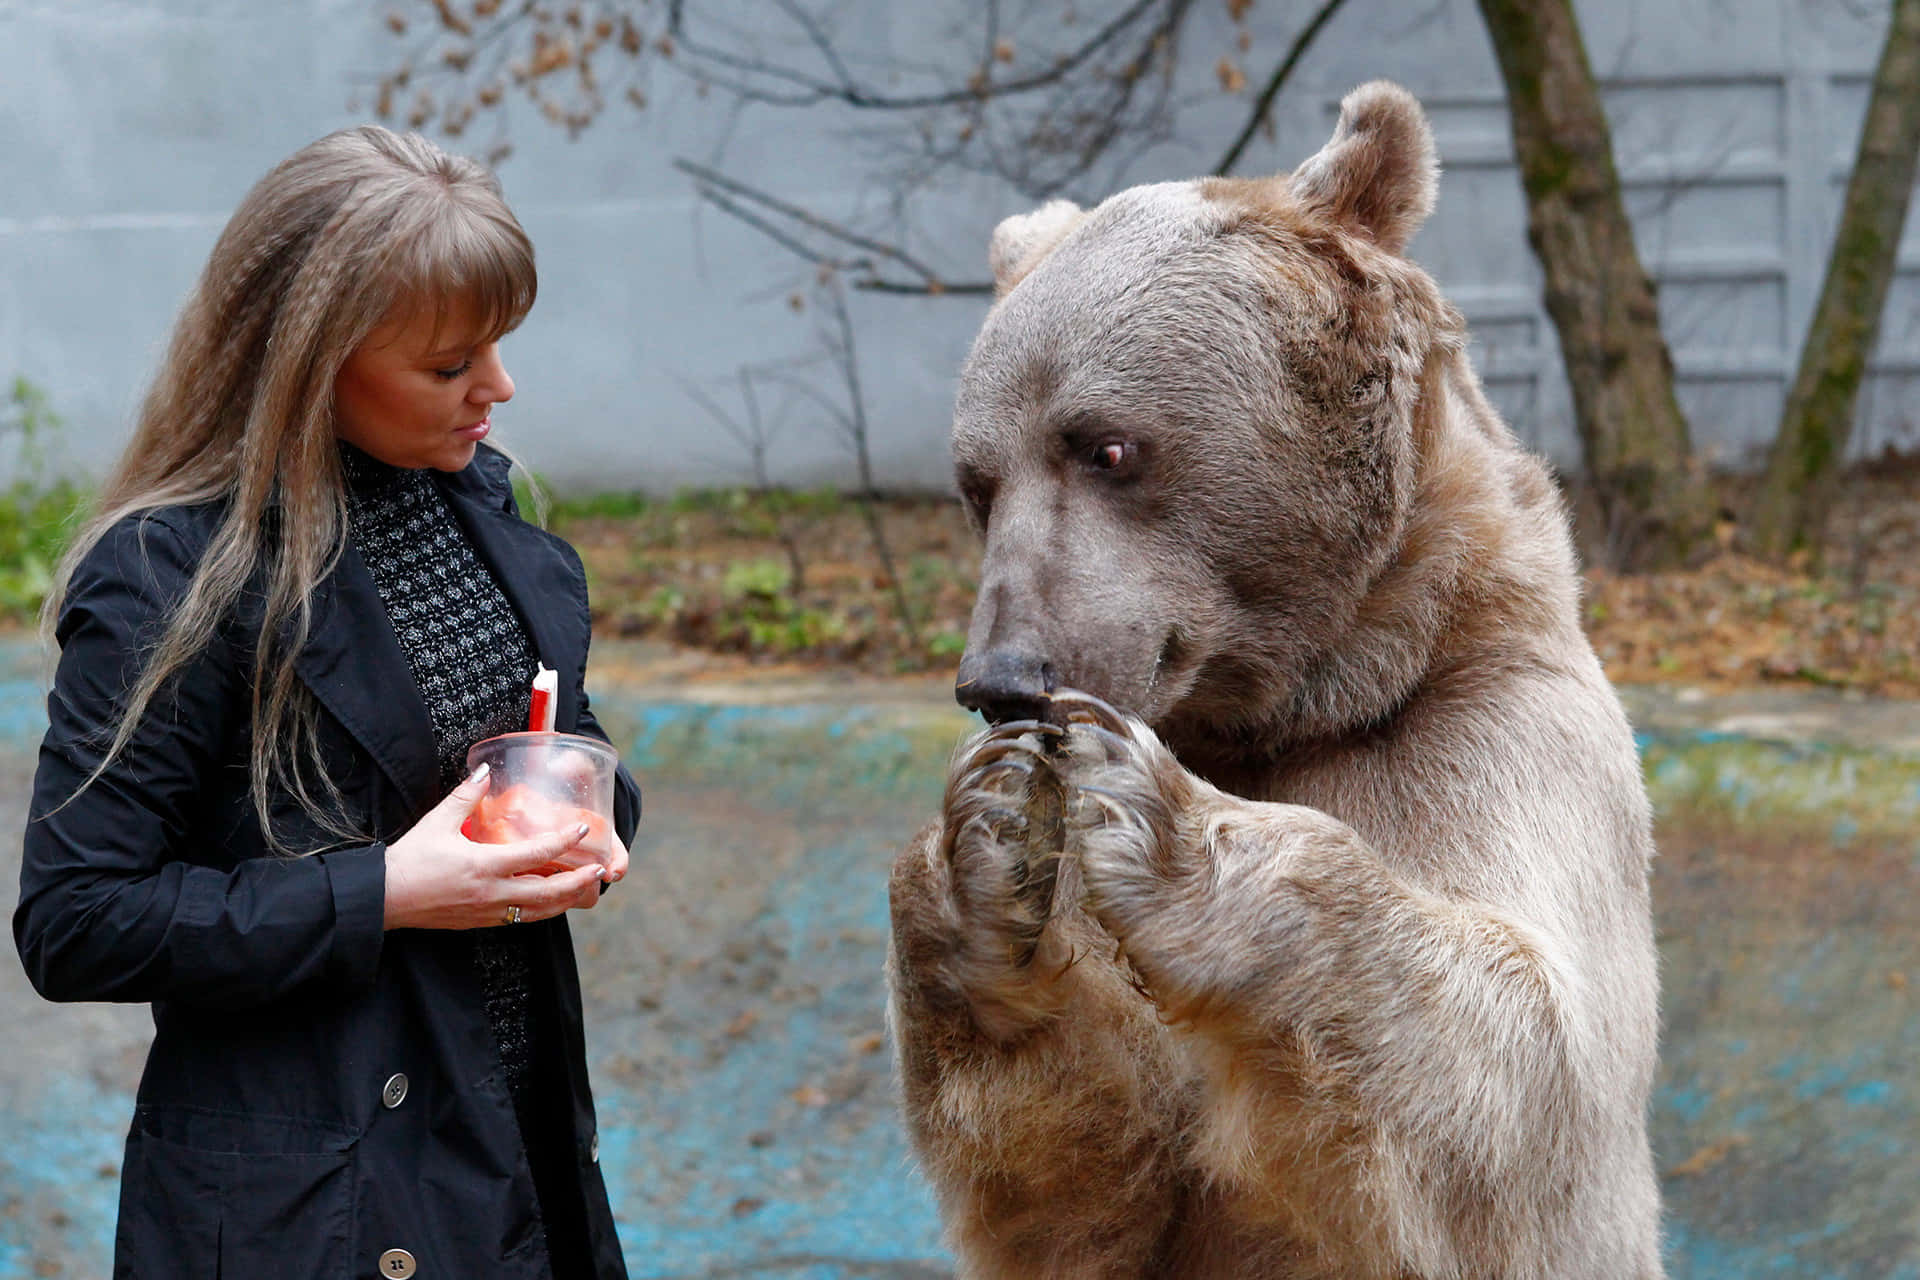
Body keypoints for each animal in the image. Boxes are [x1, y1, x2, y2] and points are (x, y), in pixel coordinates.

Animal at [885, 81, 1664, 1279]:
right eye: (977, 483)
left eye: (1105, 446)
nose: (1003, 679)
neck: (1309, 702)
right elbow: (1090, 1181)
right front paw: (985, 840)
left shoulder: (1495, 732)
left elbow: (1530, 1076)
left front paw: (1160, 821)